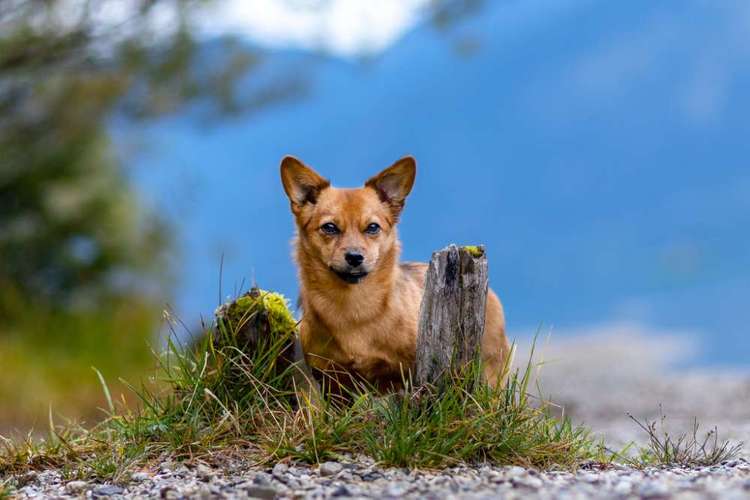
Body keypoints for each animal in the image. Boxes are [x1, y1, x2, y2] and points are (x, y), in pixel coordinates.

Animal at [282, 156, 512, 390]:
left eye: (373, 227)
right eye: (329, 227)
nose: (354, 257)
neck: (353, 308)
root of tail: (491, 294)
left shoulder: (408, 375)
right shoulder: (333, 382)